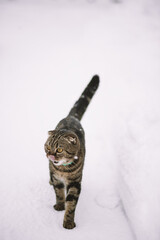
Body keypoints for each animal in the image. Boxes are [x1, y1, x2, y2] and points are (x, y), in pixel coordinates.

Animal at [44, 75, 99, 229]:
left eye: (59, 149)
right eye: (48, 147)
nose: (50, 155)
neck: (63, 170)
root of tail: (71, 117)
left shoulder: (75, 182)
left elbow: (71, 203)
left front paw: (68, 222)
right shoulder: (57, 178)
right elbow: (59, 193)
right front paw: (59, 206)